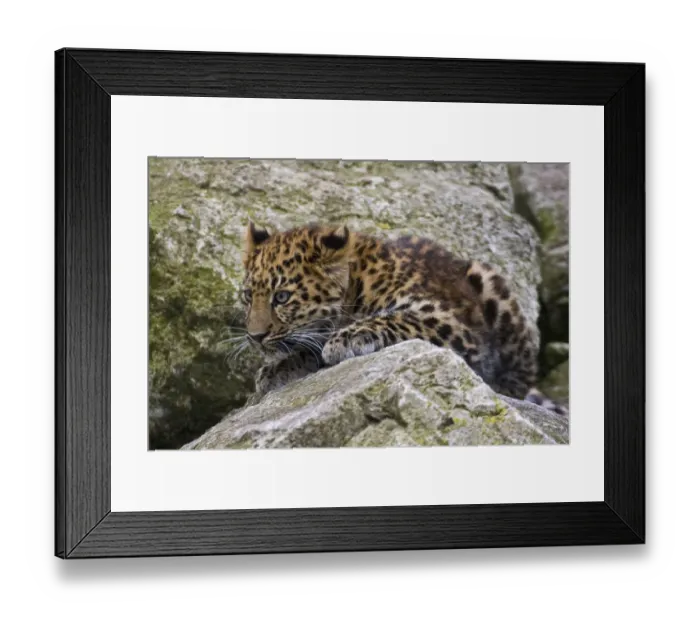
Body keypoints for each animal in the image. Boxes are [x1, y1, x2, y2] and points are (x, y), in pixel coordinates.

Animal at [238, 221, 567, 416]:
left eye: (282, 297)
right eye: (248, 296)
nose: (255, 337)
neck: (356, 284)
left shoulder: (449, 323)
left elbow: (393, 319)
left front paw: (346, 338)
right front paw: (277, 369)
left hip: (489, 282)